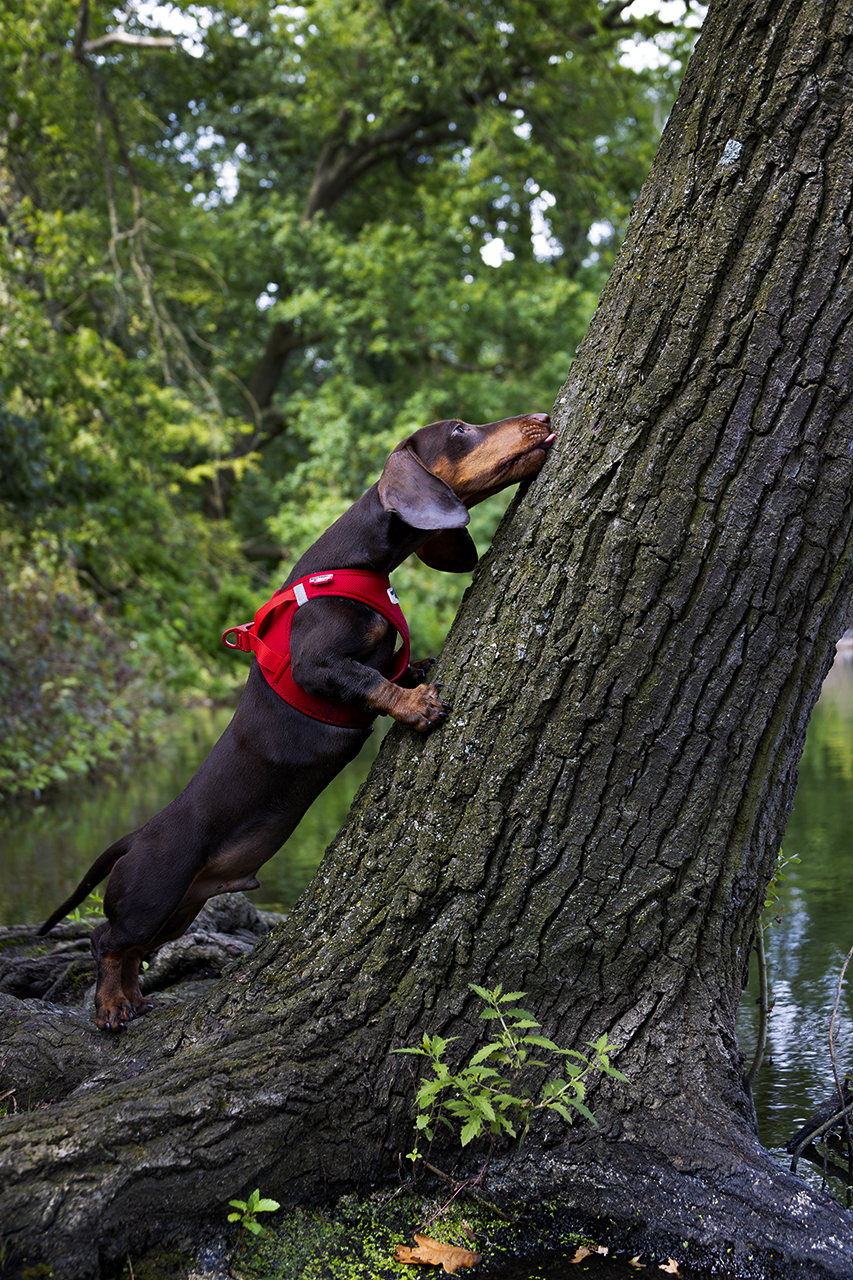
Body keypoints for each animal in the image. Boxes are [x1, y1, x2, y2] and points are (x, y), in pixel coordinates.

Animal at [41, 409, 550, 1029]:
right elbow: (371, 682)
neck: (353, 565)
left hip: (181, 911)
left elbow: (394, 667)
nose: (543, 417)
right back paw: (112, 1005)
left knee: (135, 949)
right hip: (152, 895)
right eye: (459, 429)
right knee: (107, 941)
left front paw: (419, 670)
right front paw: (416, 704)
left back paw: (134, 998)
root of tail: (136, 836)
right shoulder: (318, 665)